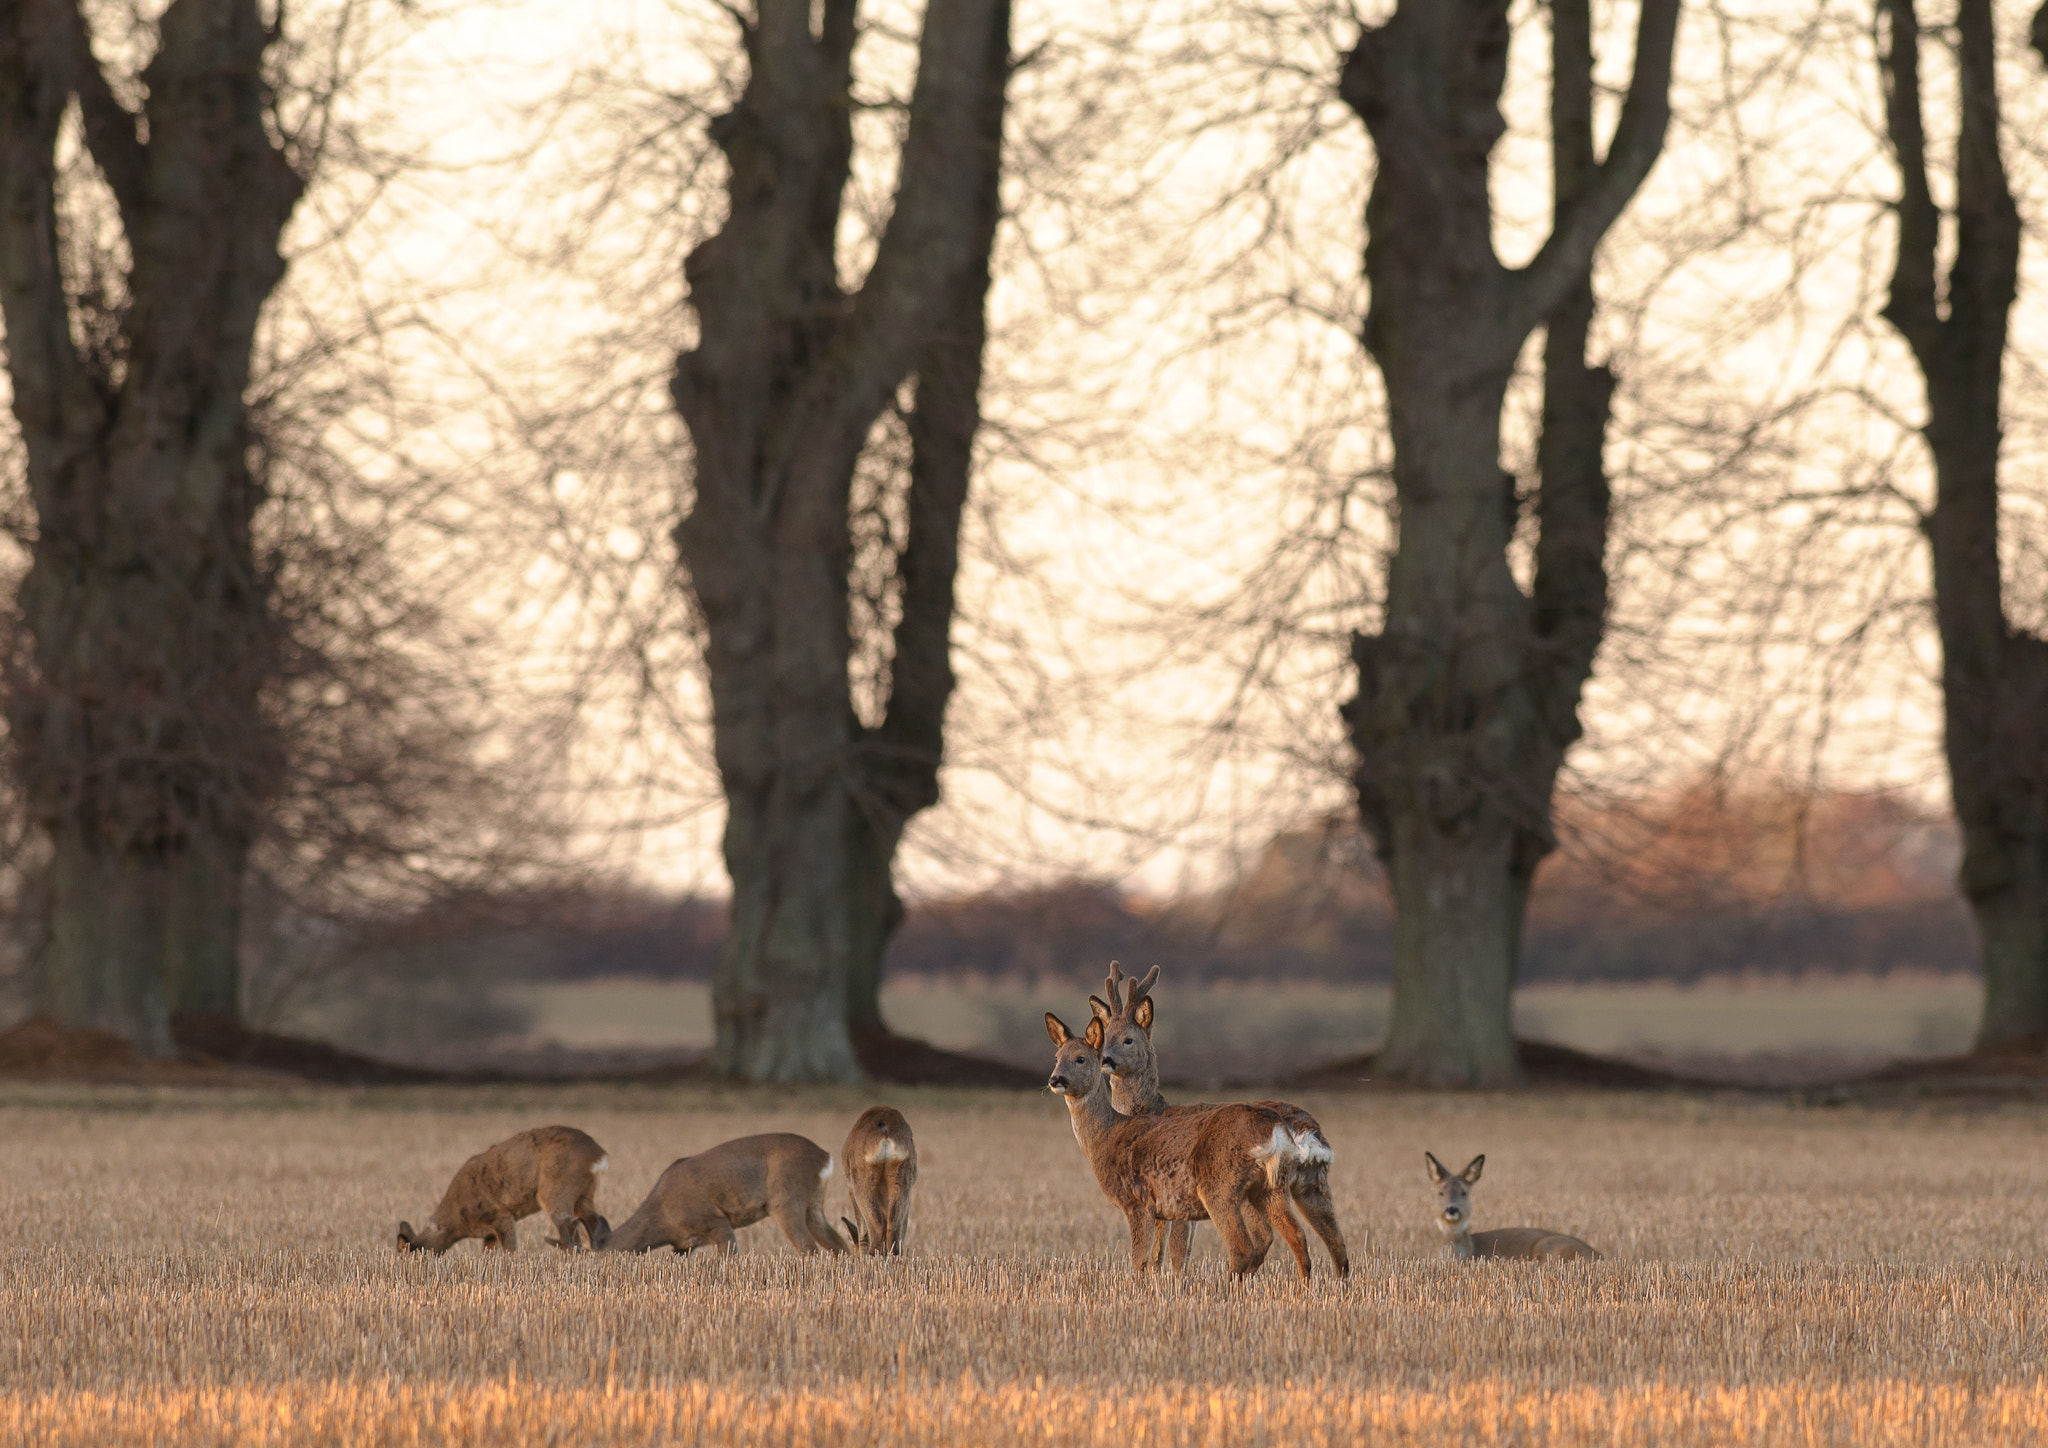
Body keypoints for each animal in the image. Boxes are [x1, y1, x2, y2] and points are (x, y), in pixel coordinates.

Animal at [396, 1125, 610, 1254]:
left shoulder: (500, 1215)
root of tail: (598, 1153)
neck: (458, 1220)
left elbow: (510, 1249)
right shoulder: (489, 1234)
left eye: (410, 1253)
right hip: (584, 1193)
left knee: (569, 1227)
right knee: (595, 1221)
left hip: (556, 1189)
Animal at [595, 1133, 849, 1255]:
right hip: (814, 1204)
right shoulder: (685, 1246)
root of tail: (825, 1157)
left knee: (809, 1248)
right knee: (840, 1245)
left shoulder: (714, 1222)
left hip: (786, 1200)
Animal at [840, 1106, 917, 1256]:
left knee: (875, 1231)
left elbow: (862, 1234)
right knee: (894, 1234)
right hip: (902, 1178)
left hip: (862, 1182)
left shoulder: (851, 1190)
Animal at [1045, 1011, 1318, 1279]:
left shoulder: (1137, 1202)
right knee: (1297, 1238)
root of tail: (1274, 1127)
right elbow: (1154, 1259)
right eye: (1057, 1057)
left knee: (1242, 1247)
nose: (1055, 1079)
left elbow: (1139, 1261)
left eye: (1080, 1059)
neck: (1106, 1137)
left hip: (1220, 1187)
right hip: (1269, 1187)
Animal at [1089, 962, 1349, 1278]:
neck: (1150, 1108)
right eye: (1106, 1035)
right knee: (1335, 1241)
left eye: (1129, 1039)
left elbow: (1175, 1252)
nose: (1106, 1060)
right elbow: (1158, 1254)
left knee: (1263, 1237)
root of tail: (1311, 1132)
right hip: (1310, 1183)